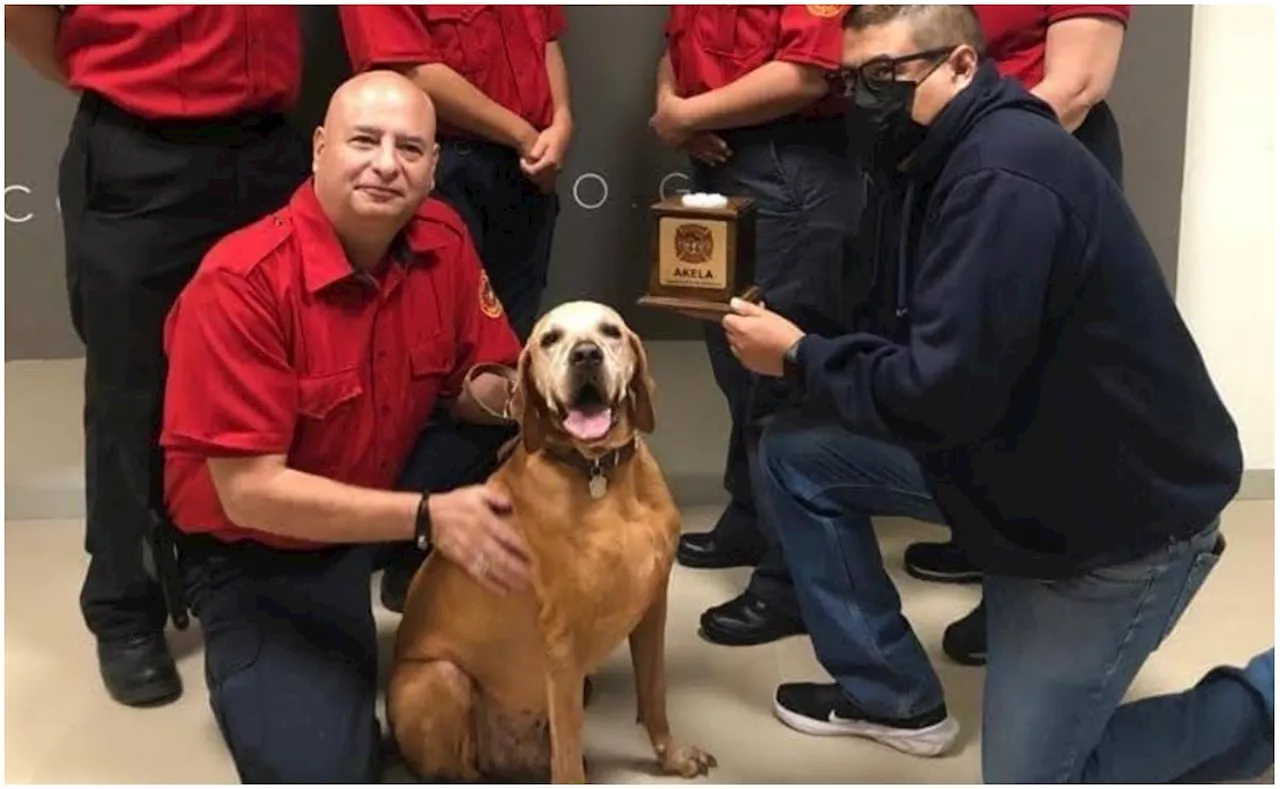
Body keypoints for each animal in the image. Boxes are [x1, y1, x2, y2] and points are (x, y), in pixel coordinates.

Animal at [384, 298, 716, 778]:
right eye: (550, 338)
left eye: (610, 331)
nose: (586, 355)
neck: (601, 474)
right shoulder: (562, 647)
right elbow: (569, 756)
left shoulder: (653, 609)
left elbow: (654, 695)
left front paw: (672, 758)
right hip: (437, 679)